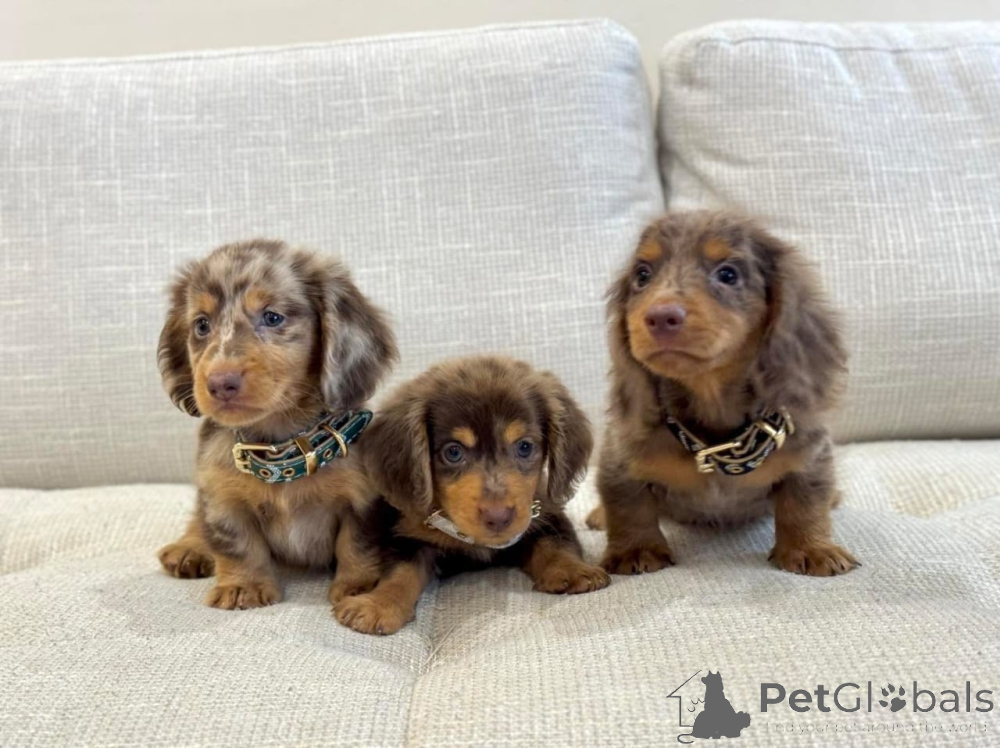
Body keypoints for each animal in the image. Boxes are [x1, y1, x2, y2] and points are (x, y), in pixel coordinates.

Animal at [155, 239, 397, 609]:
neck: (279, 445)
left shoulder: (361, 499)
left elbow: (357, 544)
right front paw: (243, 586)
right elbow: (237, 543)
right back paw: (189, 547)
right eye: (201, 325)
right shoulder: (222, 496)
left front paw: (359, 587)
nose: (219, 383)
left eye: (272, 317)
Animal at [333, 356, 610, 635]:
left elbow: (555, 543)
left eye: (524, 447)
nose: (498, 518)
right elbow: (400, 572)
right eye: (453, 452)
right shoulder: (407, 534)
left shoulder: (544, 513)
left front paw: (573, 570)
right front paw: (379, 604)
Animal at [590, 211, 858, 577]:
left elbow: (805, 500)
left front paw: (811, 548)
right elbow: (628, 504)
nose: (660, 316)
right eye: (642, 275)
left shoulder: (809, 455)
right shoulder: (619, 460)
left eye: (728, 274)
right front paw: (636, 549)